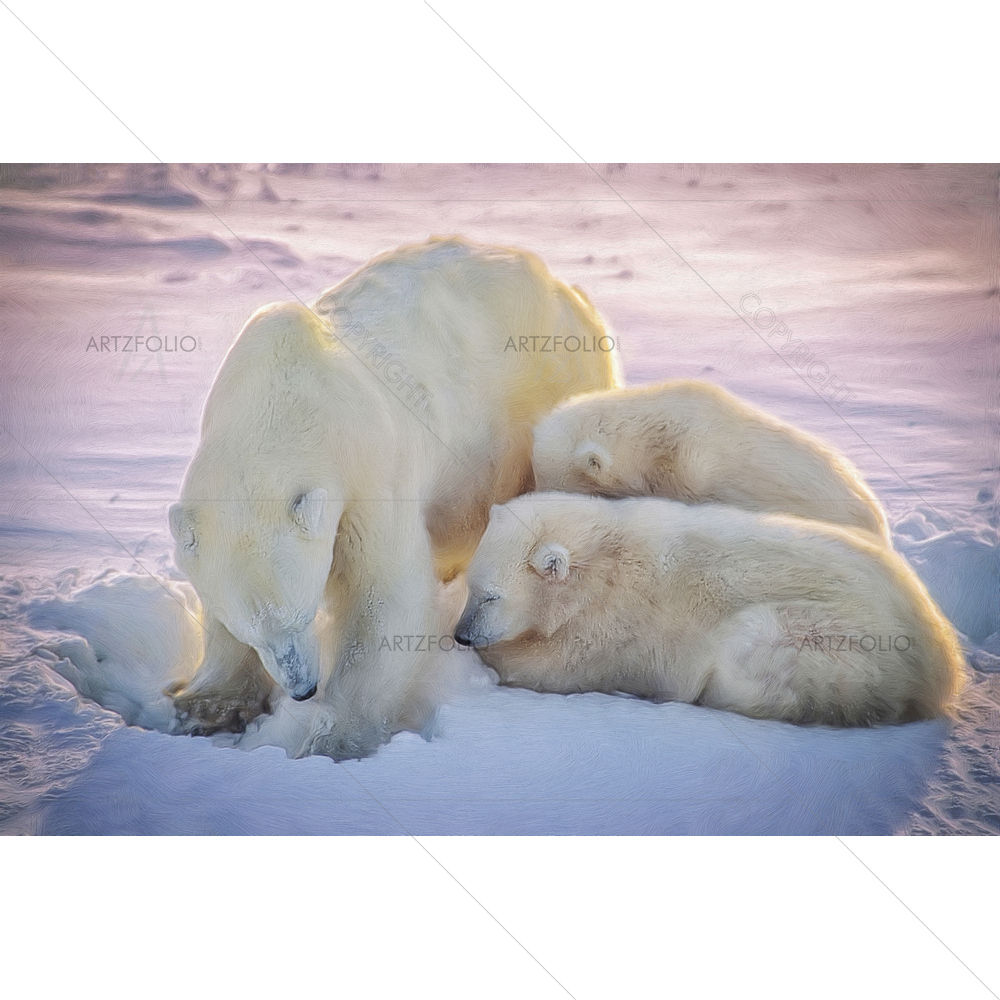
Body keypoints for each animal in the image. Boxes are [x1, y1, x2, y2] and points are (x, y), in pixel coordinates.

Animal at [167, 237, 620, 758]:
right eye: (252, 629)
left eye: (304, 613)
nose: (302, 689)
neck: (284, 398)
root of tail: (566, 289)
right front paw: (204, 707)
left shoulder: (367, 465)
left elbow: (385, 595)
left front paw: (333, 739)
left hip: (548, 391)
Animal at [454, 493, 965, 725]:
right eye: (472, 588)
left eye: (491, 596)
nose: (461, 634)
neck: (602, 558)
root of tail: (945, 663)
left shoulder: (616, 624)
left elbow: (554, 666)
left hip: (838, 640)